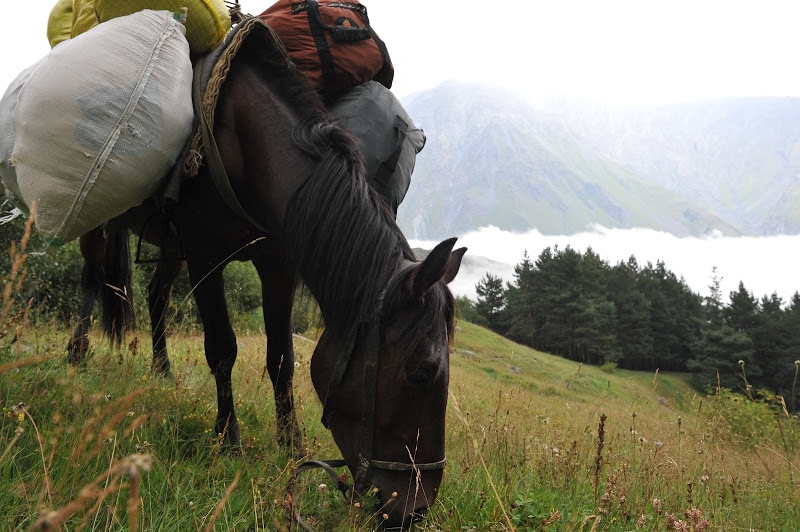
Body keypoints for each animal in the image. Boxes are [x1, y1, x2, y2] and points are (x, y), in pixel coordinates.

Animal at [69, 18, 468, 528]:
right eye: (422, 373)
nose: (416, 509)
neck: (248, 136)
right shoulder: (204, 252)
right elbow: (222, 348)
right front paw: (229, 439)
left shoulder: (278, 264)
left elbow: (283, 359)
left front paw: (291, 443)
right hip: (106, 218)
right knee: (91, 277)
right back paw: (77, 353)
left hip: (171, 245)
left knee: (157, 293)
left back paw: (161, 371)